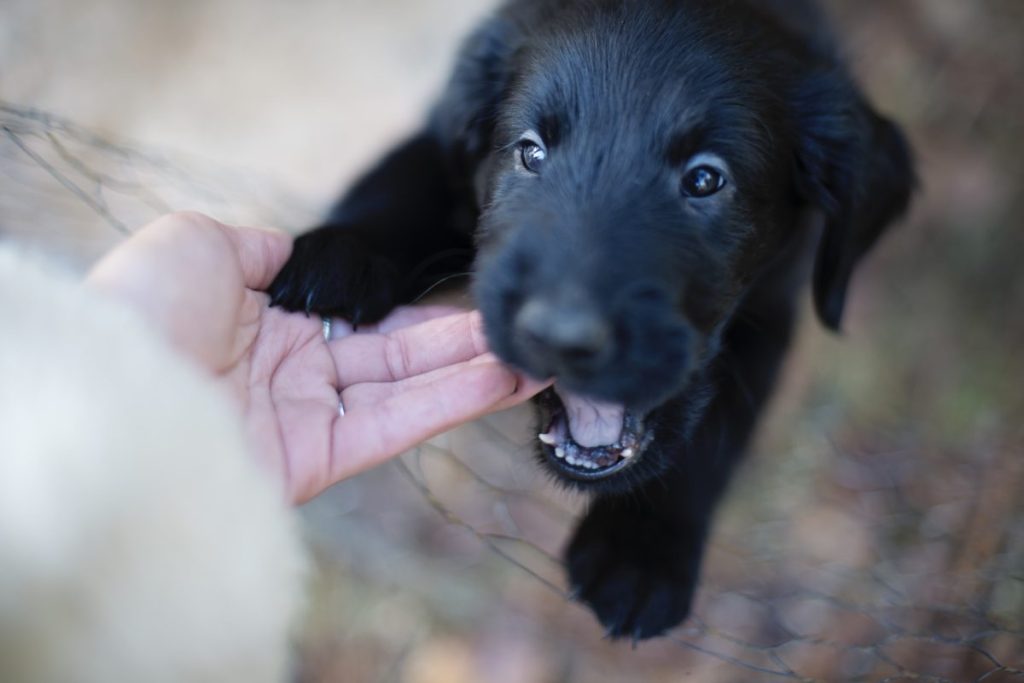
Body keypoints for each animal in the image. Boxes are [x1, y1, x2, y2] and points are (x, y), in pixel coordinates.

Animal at [270, 0, 913, 643]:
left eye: (705, 179)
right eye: (531, 152)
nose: (559, 336)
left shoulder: (773, 309)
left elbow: (713, 426)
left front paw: (640, 551)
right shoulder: (438, 146)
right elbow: (406, 179)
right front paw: (338, 256)